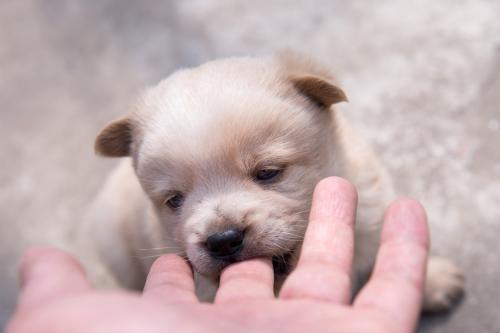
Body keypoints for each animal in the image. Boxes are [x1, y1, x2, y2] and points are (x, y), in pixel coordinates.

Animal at [85, 50, 464, 310]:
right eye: (174, 200)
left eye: (268, 172)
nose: (223, 240)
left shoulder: (370, 207)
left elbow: (378, 252)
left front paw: (434, 279)